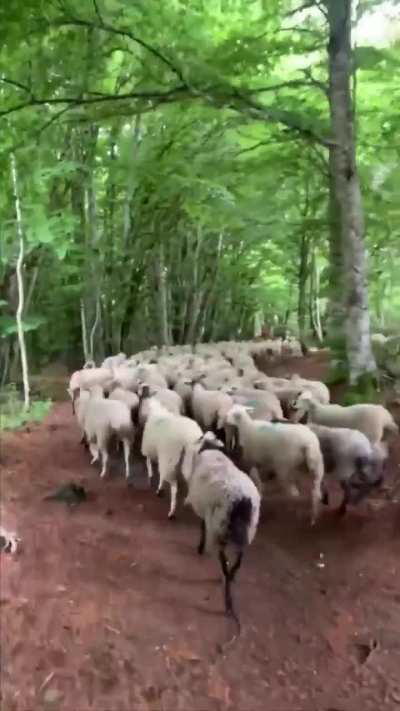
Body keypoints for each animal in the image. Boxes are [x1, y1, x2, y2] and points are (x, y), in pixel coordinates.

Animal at [181, 432, 260, 624]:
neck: (210, 449)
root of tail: (241, 500)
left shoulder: (206, 516)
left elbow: (201, 527)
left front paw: (200, 548)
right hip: (247, 531)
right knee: (239, 560)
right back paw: (231, 578)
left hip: (219, 528)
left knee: (224, 563)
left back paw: (228, 600)